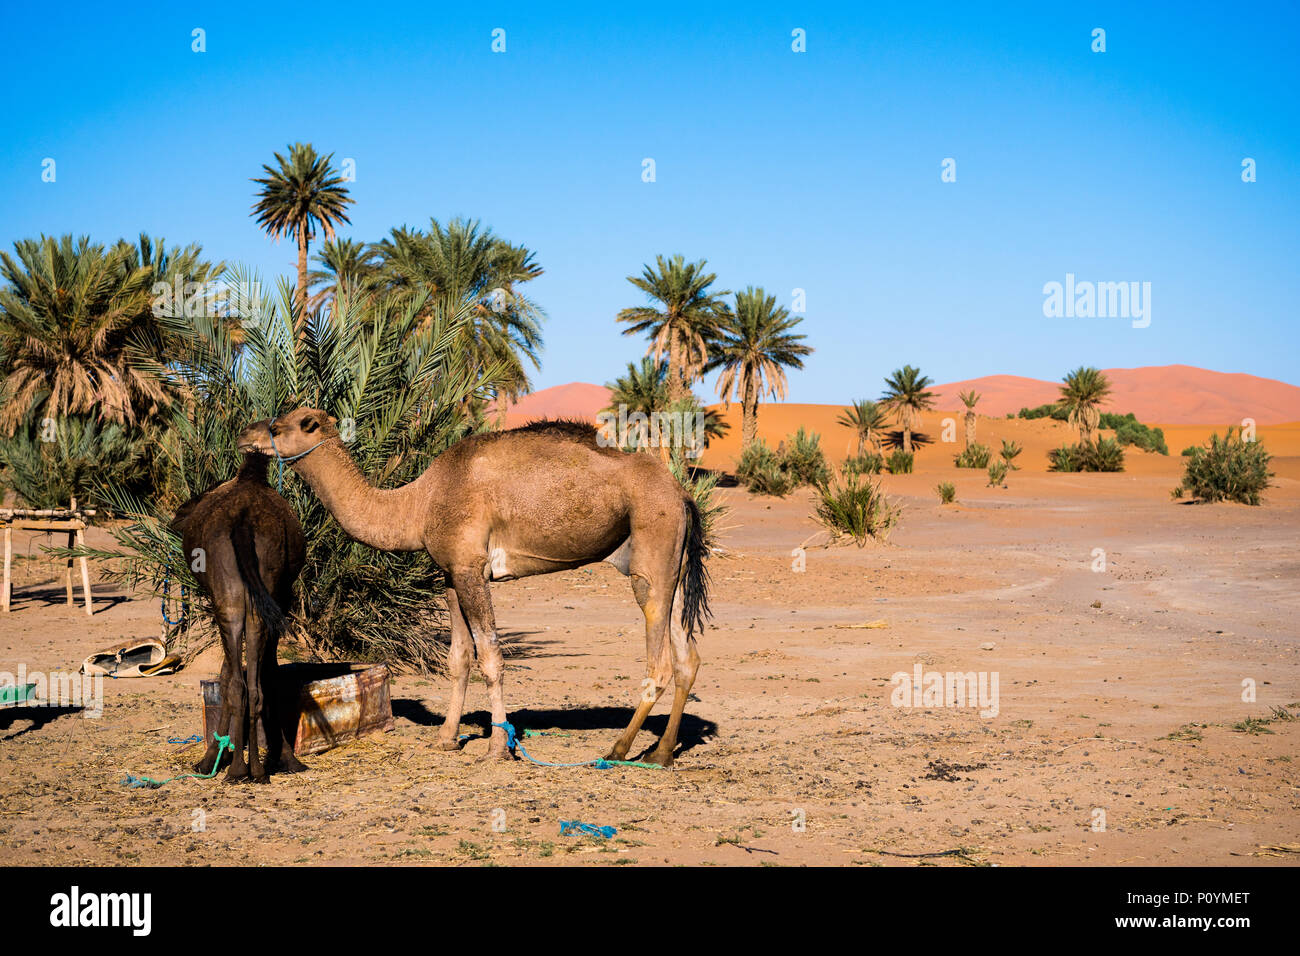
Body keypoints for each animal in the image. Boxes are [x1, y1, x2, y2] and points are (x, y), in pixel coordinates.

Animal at [171, 452, 308, 780]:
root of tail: (243, 520)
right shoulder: (277, 601)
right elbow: (259, 674)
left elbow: (229, 676)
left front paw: (211, 758)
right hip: (252, 597)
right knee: (250, 684)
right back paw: (251, 769)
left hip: (230, 597)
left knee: (239, 684)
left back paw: (239, 769)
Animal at [241, 408, 712, 764]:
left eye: (280, 426)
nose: (245, 434)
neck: (418, 503)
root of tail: (682, 494)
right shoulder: (451, 574)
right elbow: (459, 657)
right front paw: (447, 738)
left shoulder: (471, 567)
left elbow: (491, 657)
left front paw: (497, 747)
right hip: (663, 566)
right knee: (687, 657)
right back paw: (661, 753)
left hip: (652, 549)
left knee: (659, 664)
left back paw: (618, 749)